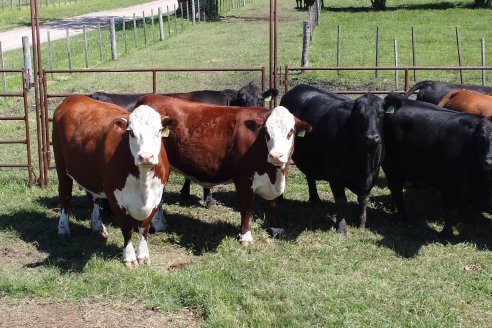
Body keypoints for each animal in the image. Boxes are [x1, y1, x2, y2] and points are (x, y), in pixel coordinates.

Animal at [52, 95, 171, 266]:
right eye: (131, 132)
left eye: (159, 131)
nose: (146, 157)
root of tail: (73, 98)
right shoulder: (115, 197)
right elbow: (127, 228)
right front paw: (129, 258)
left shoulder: (157, 196)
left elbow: (144, 227)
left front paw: (143, 255)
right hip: (61, 165)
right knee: (65, 195)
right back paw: (63, 229)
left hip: (89, 173)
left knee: (92, 198)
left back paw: (98, 227)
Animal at [135, 94, 312, 243]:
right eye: (266, 132)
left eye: (291, 131)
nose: (276, 155)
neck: (273, 173)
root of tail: (149, 97)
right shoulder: (243, 177)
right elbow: (247, 207)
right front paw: (245, 236)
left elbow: (273, 203)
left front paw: (276, 228)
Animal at [278, 83, 386, 234]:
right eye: (359, 114)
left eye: (381, 113)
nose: (372, 137)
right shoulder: (335, 175)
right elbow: (341, 201)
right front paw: (342, 228)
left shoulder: (373, 174)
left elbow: (363, 199)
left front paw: (362, 224)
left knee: (310, 177)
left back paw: (315, 200)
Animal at [382, 92, 492, 236]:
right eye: (480, 136)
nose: (488, 162)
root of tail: (401, 100)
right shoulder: (449, 185)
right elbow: (449, 211)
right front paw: (447, 233)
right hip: (392, 167)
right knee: (396, 190)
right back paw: (404, 218)